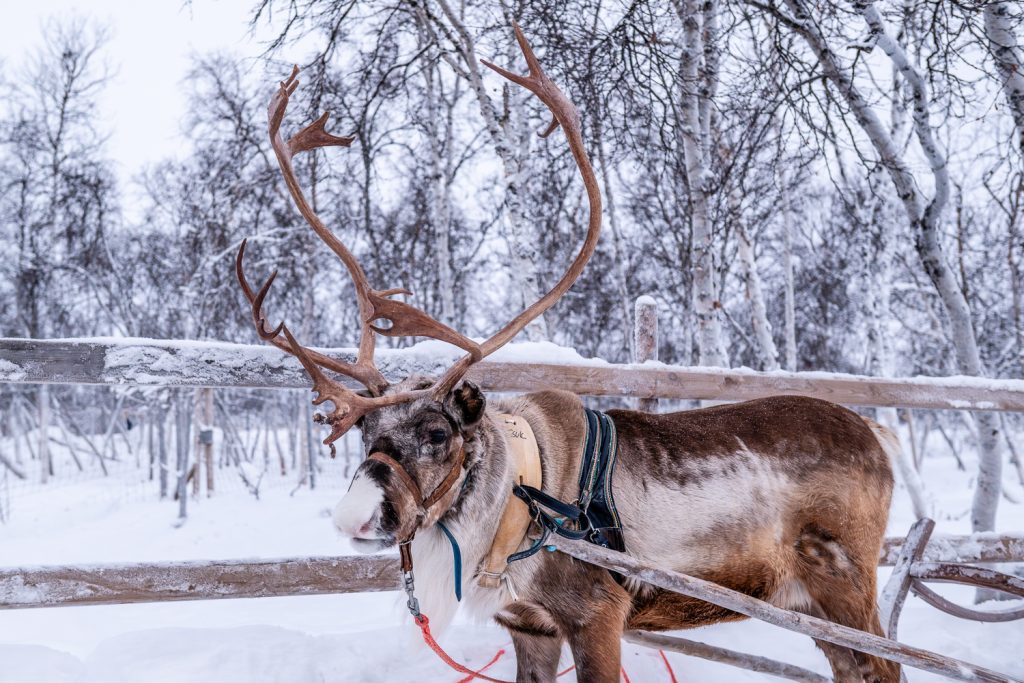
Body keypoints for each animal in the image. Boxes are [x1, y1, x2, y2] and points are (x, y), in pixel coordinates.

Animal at [235, 26, 899, 683]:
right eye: (364, 432)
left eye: (438, 433)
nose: (353, 517)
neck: (517, 499)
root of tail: (876, 433)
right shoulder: (528, 625)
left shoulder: (595, 614)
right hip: (810, 604)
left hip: (845, 582)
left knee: (885, 663)